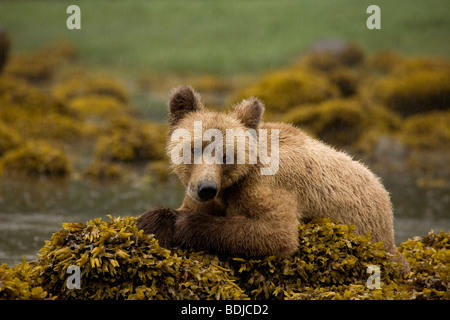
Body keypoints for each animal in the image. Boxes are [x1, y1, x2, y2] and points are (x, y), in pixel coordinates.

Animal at [139, 84, 410, 272]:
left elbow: (275, 233)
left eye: (227, 155)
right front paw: (154, 220)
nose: (206, 187)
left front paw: (183, 224)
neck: (231, 185)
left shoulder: (270, 185)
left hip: (376, 239)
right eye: (194, 148)